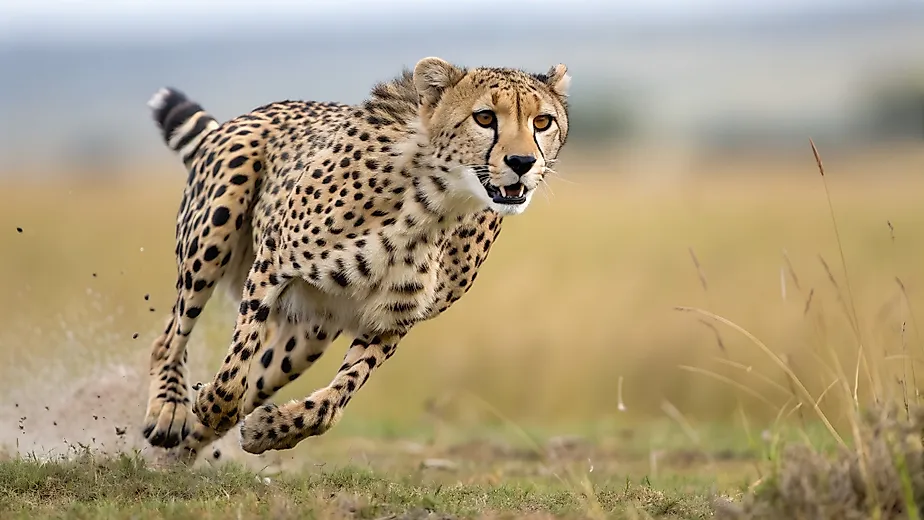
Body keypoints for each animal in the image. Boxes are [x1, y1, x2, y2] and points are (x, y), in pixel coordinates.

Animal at [142, 56, 571, 463]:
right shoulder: (273, 259)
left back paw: (177, 455)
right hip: (213, 232)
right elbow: (235, 367)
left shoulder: (392, 319)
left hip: (306, 338)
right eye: (484, 118)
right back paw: (169, 413)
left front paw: (268, 430)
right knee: (169, 337)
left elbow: (333, 400)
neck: (435, 203)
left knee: (259, 375)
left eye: (542, 122)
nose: (523, 163)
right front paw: (212, 404)